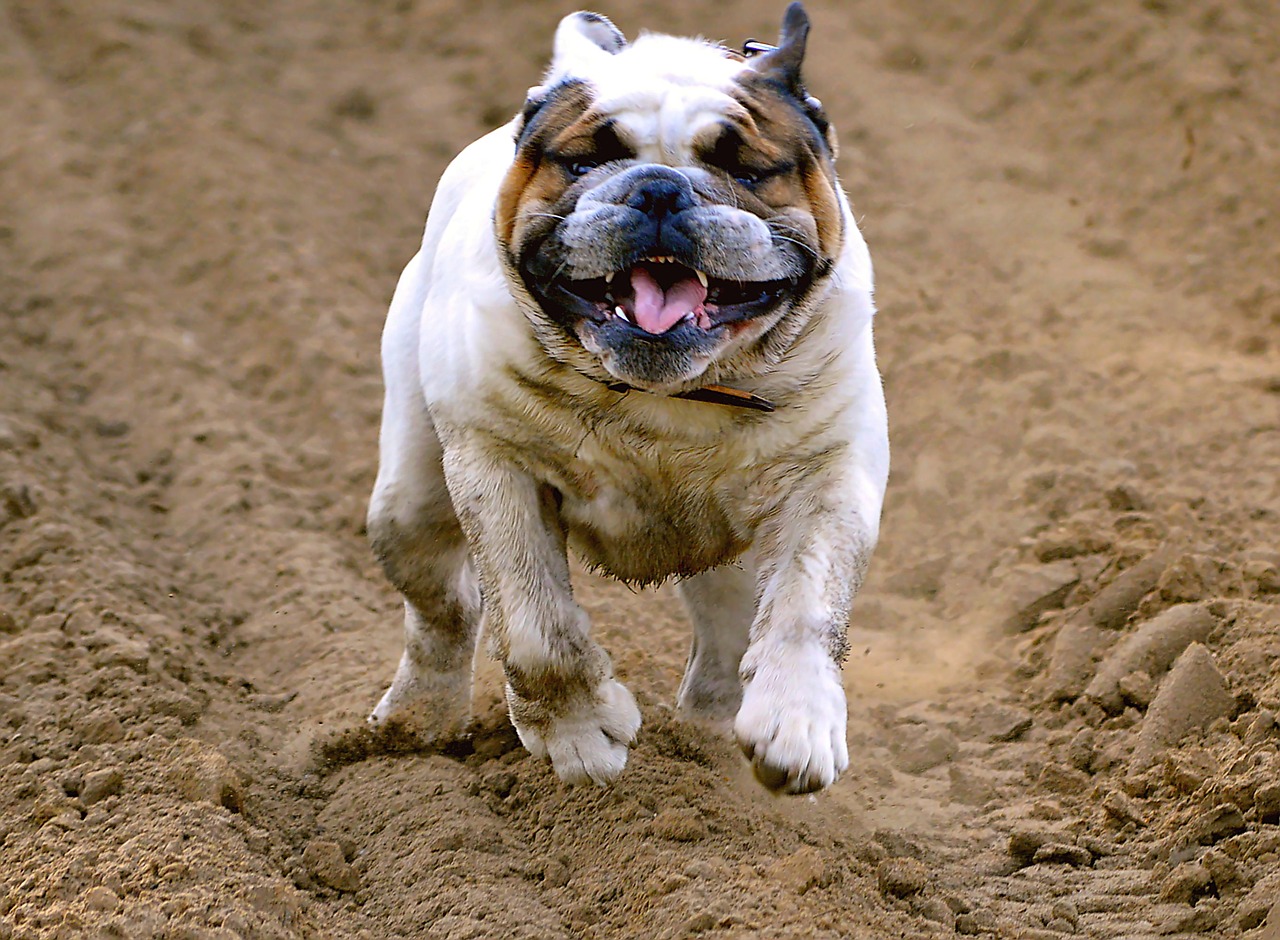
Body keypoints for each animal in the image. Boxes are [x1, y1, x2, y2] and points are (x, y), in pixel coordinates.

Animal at [366, 3, 885, 799]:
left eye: (747, 169)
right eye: (583, 162)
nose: (660, 187)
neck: (666, 398)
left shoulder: (831, 476)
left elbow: (806, 605)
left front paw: (795, 724)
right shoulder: (496, 466)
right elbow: (535, 626)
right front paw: (581, 738)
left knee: (729, 629)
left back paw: (704, 742)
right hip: (409, 499)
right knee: (442, 606)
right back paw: (417, 723)